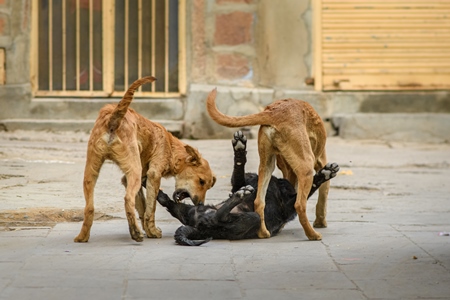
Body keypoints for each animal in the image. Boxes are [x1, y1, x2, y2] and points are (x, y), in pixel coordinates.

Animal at [74, 76, 216, 243]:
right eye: (201, 181)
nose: (201, 204)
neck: (170, 145)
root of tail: (113, 117)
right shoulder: (153, 175)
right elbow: (150, 208)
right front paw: (152, 231)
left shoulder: (131, 178)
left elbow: (142, 206)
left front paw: (147, 230)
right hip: (133, 171)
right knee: (127, 200)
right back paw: (135, 233)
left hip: (91, 171)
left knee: (89, 207)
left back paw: (83, 236)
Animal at [155, 131, 338, 246]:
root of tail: (198, 228)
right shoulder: (240, 181)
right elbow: (238, 168)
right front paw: (239, 149)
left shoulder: (287, 206)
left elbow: (308, 188)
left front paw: (324, 174)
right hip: (195, 211)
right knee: (178, 207)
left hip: (247, 218)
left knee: (214, 216)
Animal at [207, 88, 326, 240]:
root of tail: (273, 112)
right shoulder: (319, 161)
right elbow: (323, 195)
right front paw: (321, 222)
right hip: (307, 167)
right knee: (299, 204)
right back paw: (312, 234)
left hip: (266, 165)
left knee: (259, 202)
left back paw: (263, 232)